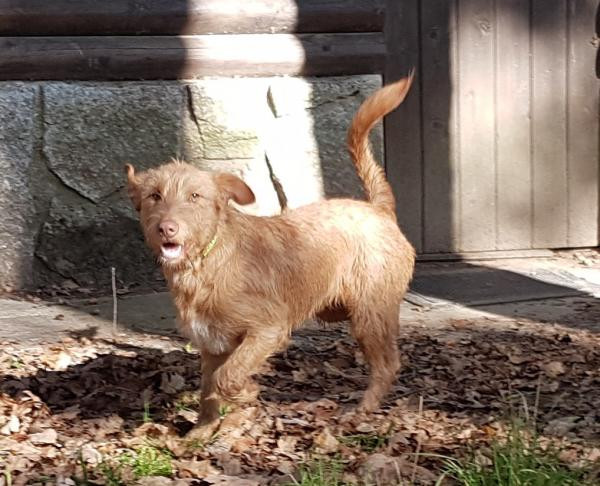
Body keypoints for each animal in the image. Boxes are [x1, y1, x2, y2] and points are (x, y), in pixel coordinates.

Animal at [125, 74, 416, 439]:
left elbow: (226, 377)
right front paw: (201, 432)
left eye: (195, 196)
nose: (167, 228)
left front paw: (247, 392)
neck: (205, 264)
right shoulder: (212, 345)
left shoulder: (267, 328)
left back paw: (362, 409)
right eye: (154, 196)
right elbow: (208, 389)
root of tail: (377, 208)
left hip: (369, 314)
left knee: (388, 364)